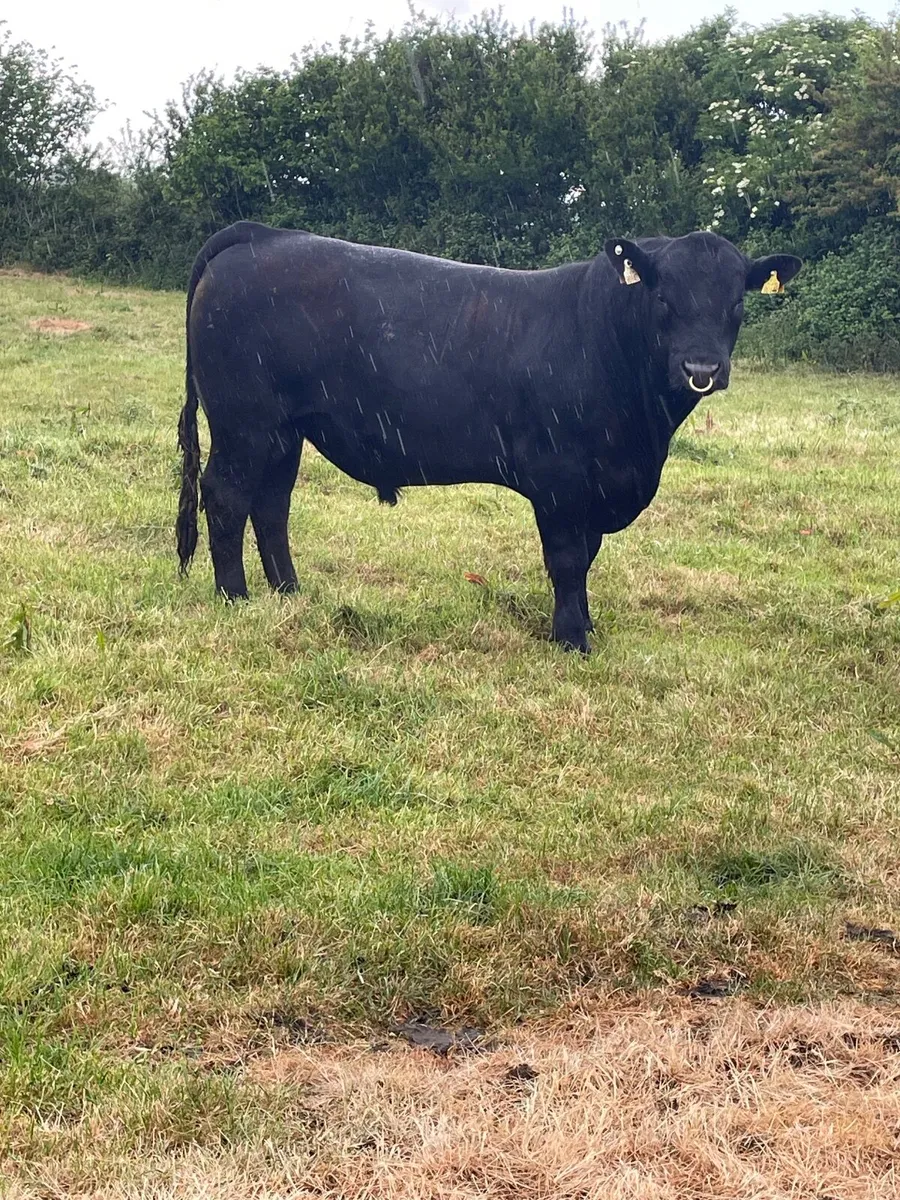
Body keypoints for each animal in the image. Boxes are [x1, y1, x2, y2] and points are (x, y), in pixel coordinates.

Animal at [176, 221, 801, 652]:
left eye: (737, 303)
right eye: (664, 298)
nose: (702, 368)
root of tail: (262, 235)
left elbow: (587, 558)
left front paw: (584, 627)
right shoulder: (560, 479)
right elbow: (568, 560)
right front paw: (572, 640)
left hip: (284, 432)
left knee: (271, 506)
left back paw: (290, 594)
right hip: (245, 424)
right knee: (227, 498)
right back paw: (234, 598)